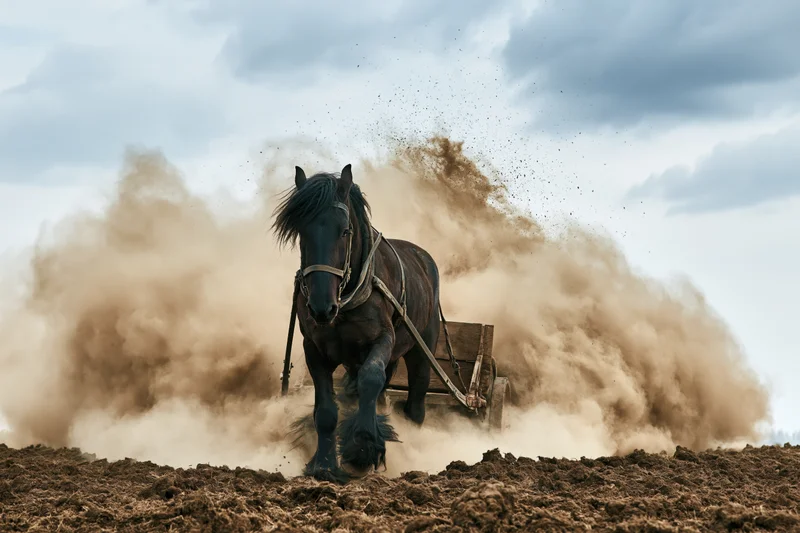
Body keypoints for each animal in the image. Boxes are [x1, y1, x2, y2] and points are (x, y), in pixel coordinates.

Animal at [272, 164, 442, 482]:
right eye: (302, 232)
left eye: (345, 230)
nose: (321, 308)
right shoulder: (314, 348)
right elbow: (326, 410)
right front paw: (325, 464)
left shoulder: (383, 339)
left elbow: (370, 378)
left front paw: (362, 449)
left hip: (421, 348)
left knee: (415, 402)